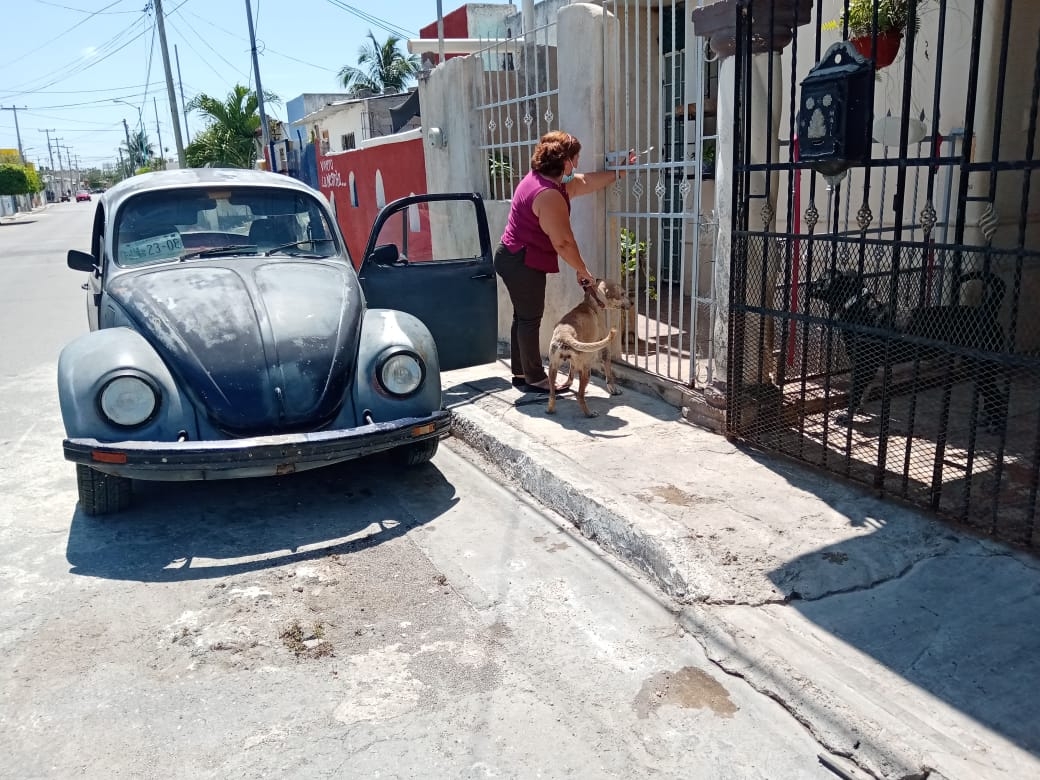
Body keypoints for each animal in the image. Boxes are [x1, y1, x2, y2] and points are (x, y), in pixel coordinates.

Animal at [544, 278, 632, 418]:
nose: (632, 303)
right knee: (580, 395)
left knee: (552, 394)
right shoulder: (604, 346)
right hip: (586, 369)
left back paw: (550, 409)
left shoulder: (573, 362)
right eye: (623, 293)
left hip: (553, 368)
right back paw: (589, 413)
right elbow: (608, 371)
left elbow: (570, 373)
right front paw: (613, 390)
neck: (592, 302)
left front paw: (568, 383)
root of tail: (564, 335)